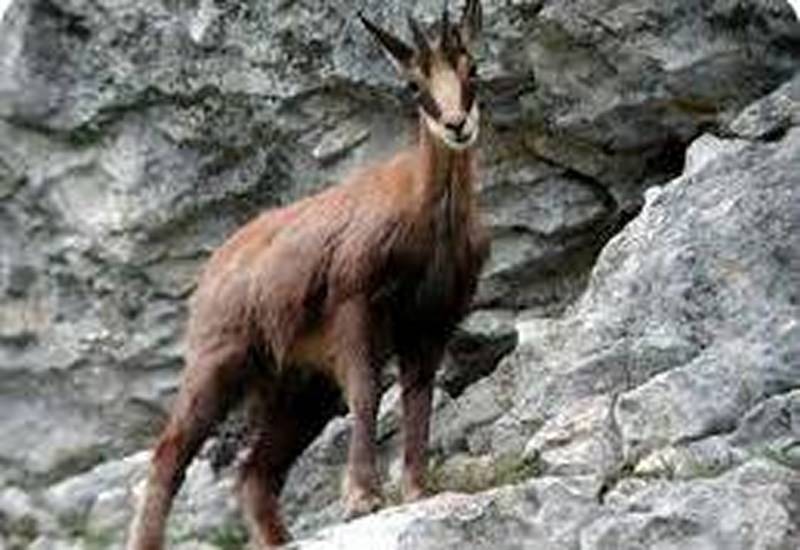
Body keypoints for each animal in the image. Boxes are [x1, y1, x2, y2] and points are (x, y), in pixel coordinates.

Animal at [127, 1, 488, 548]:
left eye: (473, 68)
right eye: (413, 84)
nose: (456, 124)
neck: (428, 219)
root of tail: (218, 263)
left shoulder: (430, 325)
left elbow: (418, 398)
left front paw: (417, 488)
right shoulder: (355, 304)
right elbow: (366, 391)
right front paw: (363, 496)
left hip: (301, 387)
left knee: (256, 472)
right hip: (219, 360)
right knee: (170, 452)